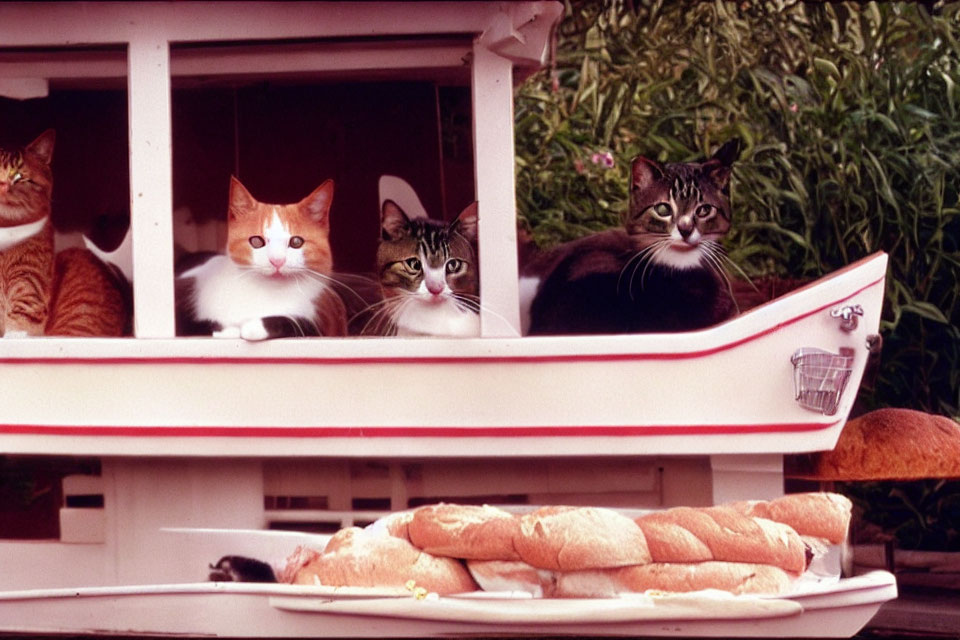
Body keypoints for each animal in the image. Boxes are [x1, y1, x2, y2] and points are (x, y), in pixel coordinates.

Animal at [176, 175, 348, 340]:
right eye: (256, 241)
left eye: (296, 242)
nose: (277, 261)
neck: (267, 291)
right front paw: (226, 329)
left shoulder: (318, 323)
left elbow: (293, 323)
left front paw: (251, 327)